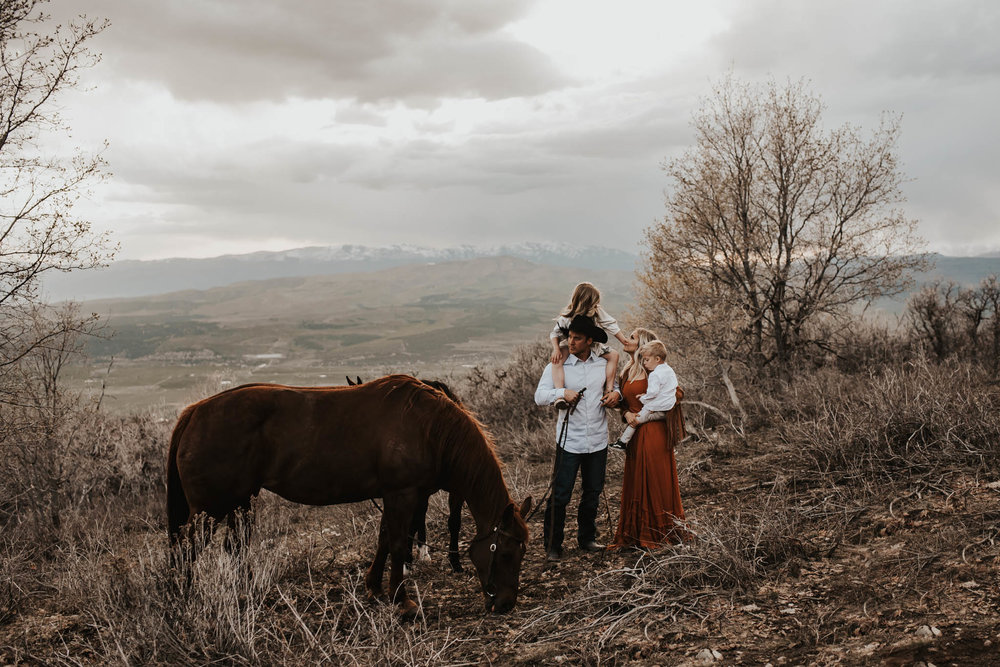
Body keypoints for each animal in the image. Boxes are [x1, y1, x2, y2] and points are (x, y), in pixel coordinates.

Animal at [169, 376, 532, 616]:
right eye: (506, 554)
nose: (505, 604)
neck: (429, 428)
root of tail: (194, 413)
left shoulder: (393, 495)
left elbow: (384, 539)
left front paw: (374, 587)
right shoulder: (403, 494)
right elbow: (397, 543)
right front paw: (402, 600)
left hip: (241, 502)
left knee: (235, 548)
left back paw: (244, 596)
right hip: (211, 509)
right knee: (188, 549)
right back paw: (182, 601)